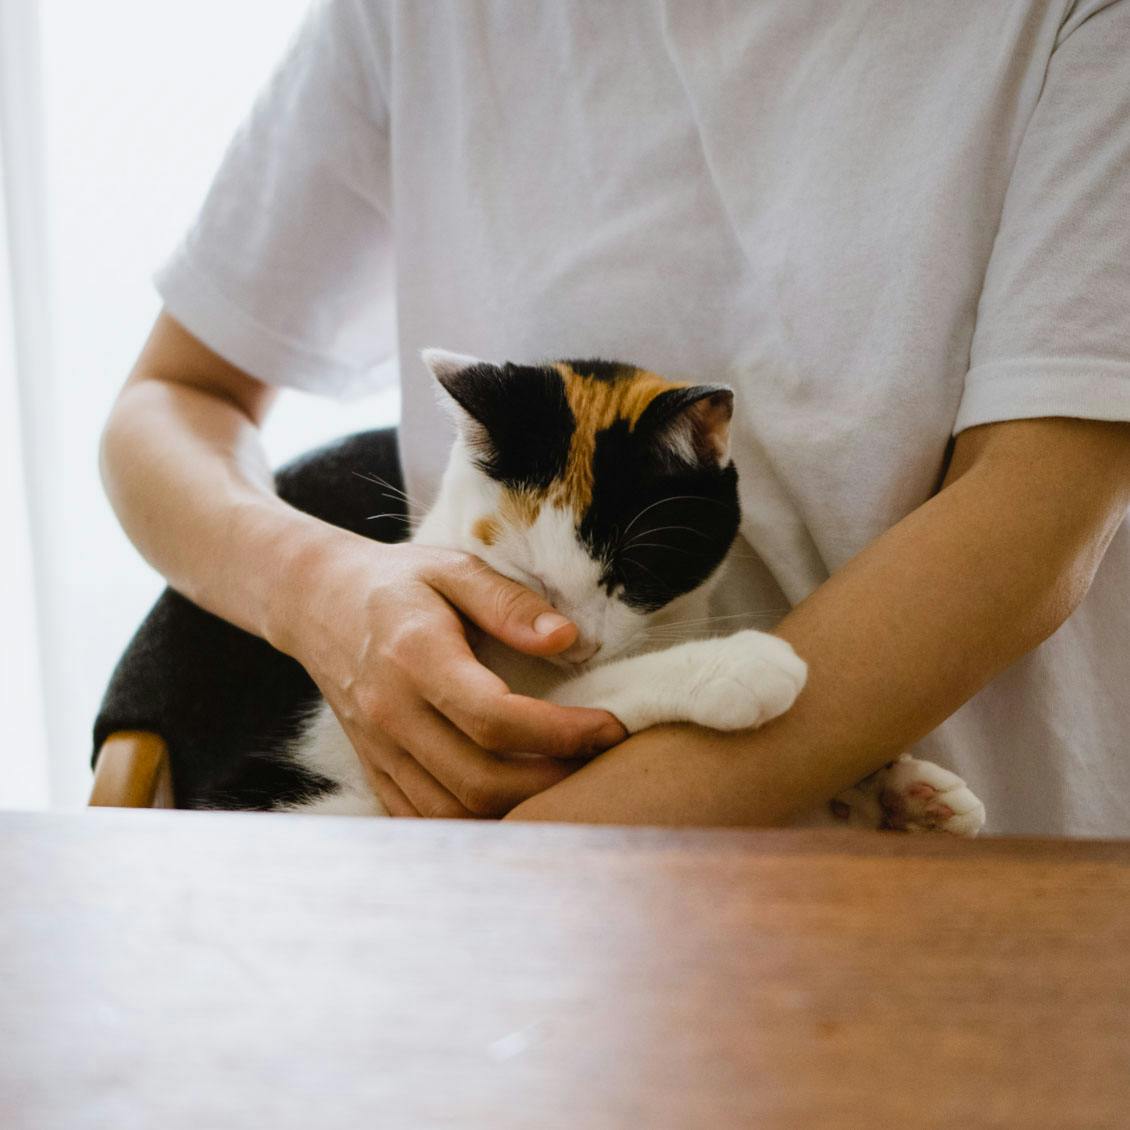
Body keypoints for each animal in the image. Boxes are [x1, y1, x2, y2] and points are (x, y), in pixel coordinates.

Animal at [277, 352, 985, 840]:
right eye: (527, 576)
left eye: (629, 574)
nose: (578, 642)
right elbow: (574, 696)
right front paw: (733, 664)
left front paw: (900, 795)